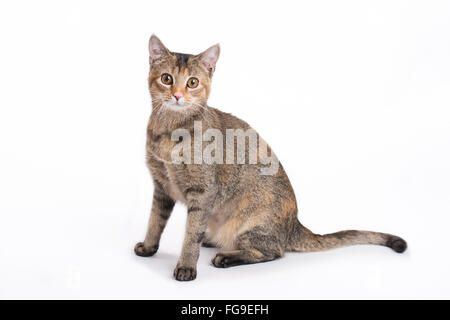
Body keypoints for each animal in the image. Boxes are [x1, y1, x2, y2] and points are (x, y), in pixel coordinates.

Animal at [134, 34, 408, 280]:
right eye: (167, 79)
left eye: (192, 82)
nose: (178, 95)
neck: (170, 131)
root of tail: (295, 225)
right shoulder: (161, 188)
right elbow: (154, 221)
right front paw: (148, 247)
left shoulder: (203, 192)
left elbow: (191, 235)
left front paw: (186, 267)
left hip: (250, 223)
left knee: (273, 252)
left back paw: (227, 256)